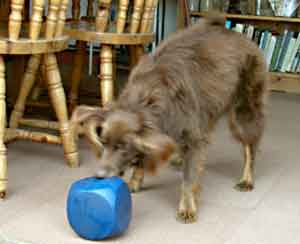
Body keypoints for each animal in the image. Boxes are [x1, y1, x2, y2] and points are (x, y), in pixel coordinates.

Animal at [71, 12, 268, 223]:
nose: (99, 176)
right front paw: (135, 181)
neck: (147, 100)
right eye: (103, 143)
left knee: (250, 148)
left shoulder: (192, 135)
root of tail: (237, 34)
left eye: (122, 147)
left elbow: (189, 176)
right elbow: (144, 155)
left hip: (244, 111)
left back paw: (247, 179)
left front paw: (187, 207)